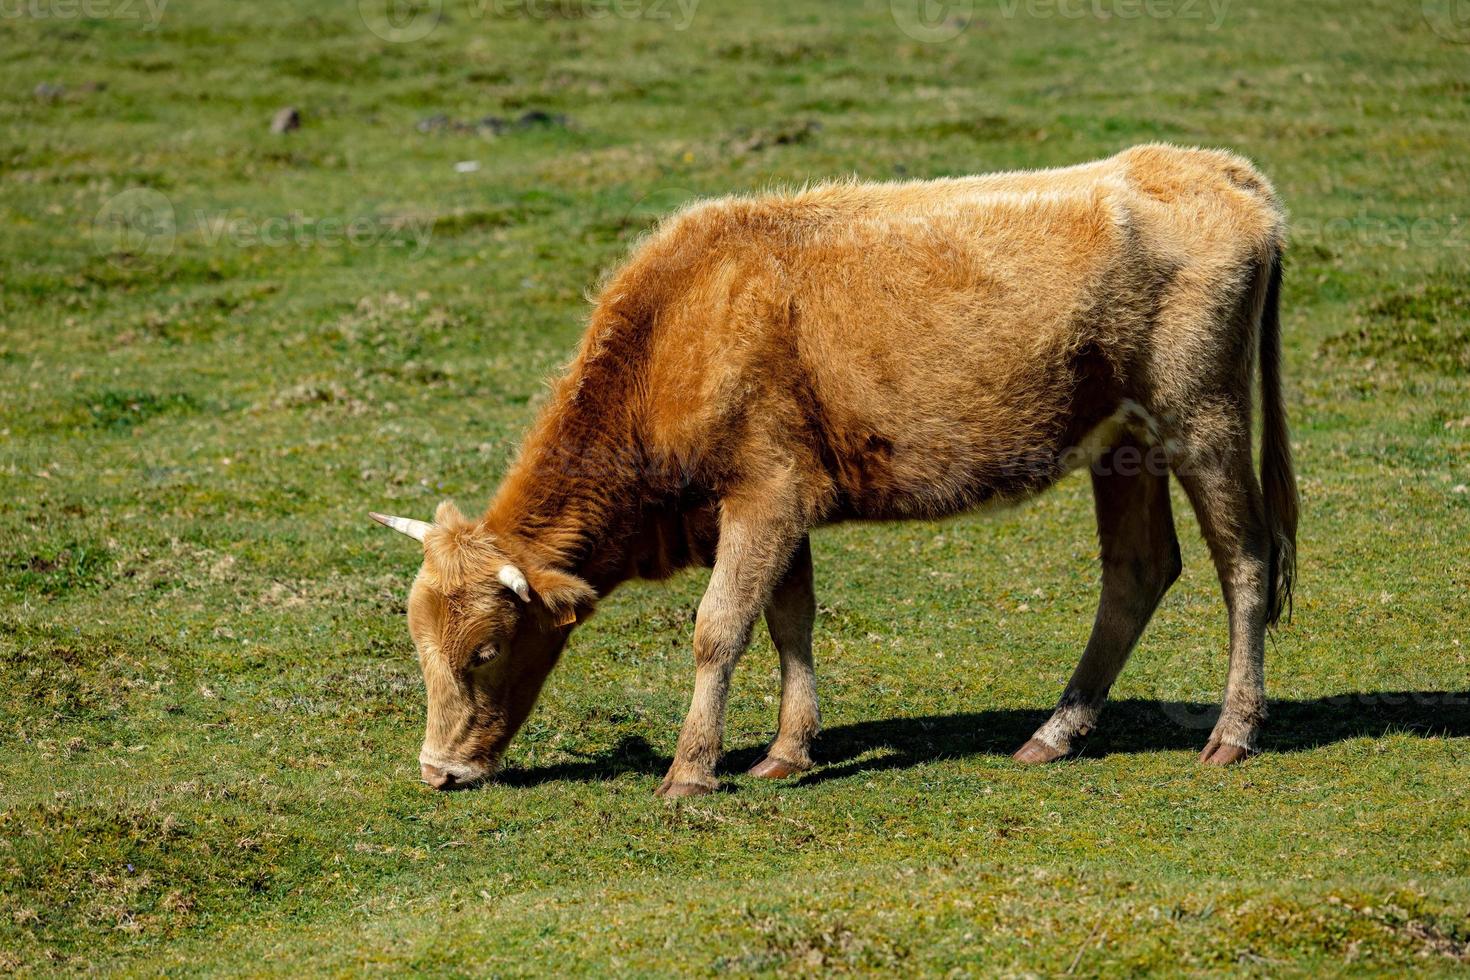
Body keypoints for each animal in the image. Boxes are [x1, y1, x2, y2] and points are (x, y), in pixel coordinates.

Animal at [370, 143, 1299, 799]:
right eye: (418, 643)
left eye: (486, 650)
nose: (438, 771)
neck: (682, 328)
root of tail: (1217, 170)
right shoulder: (775, 502)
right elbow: (790, 619)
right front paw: (786, 752)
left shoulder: (765, 494)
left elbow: (720, 627)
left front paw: (689, 771)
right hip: (1123, 443)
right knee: (1138, 570)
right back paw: (1055, 733)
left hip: (1203, 415)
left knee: (1245, 558)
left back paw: (1232, 733)